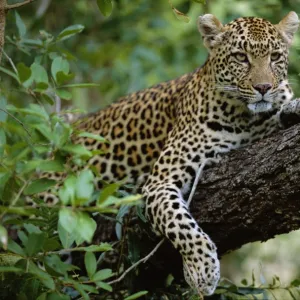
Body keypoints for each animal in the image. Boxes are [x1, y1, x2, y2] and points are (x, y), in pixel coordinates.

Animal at [41, 11, 300, 296]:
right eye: (241, 57)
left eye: (275, 57)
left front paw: (291, 108)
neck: (246, 118)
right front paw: (201, 270)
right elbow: (180, 224)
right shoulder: (159, 182)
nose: (264, 87)